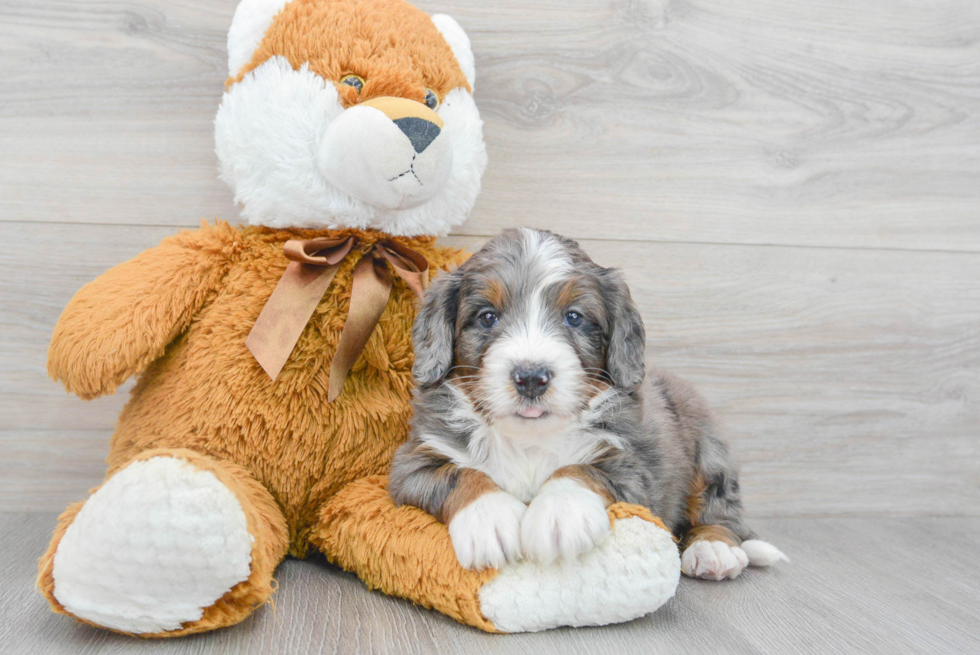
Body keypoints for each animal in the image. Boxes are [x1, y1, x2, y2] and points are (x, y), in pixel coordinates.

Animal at [386, 229, 784, 580]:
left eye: (574, 317)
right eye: (487, 317)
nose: (531, 376)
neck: (528, 438)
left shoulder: (634, 465)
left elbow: (581, 469)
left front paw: (560, 515)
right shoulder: (415, 460)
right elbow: (459, 474)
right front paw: (490, 519)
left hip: (709, 449)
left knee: (719, 511)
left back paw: (714, 549)